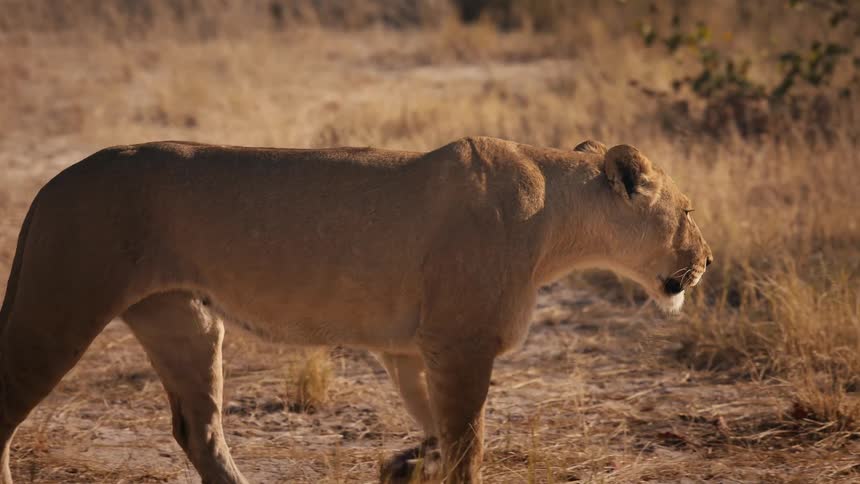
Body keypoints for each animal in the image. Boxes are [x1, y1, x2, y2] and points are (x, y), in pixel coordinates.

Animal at [0, 136, 711, 483]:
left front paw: (403, 466)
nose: (706, 260)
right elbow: (468, 445)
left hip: (186, 323)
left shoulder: (414, 349)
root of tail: (52, 181)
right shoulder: (461, 344)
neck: (557, 219)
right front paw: (424, 466)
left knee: (199, 433)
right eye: (689, 211)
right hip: (58, 307)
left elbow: (439, 430)